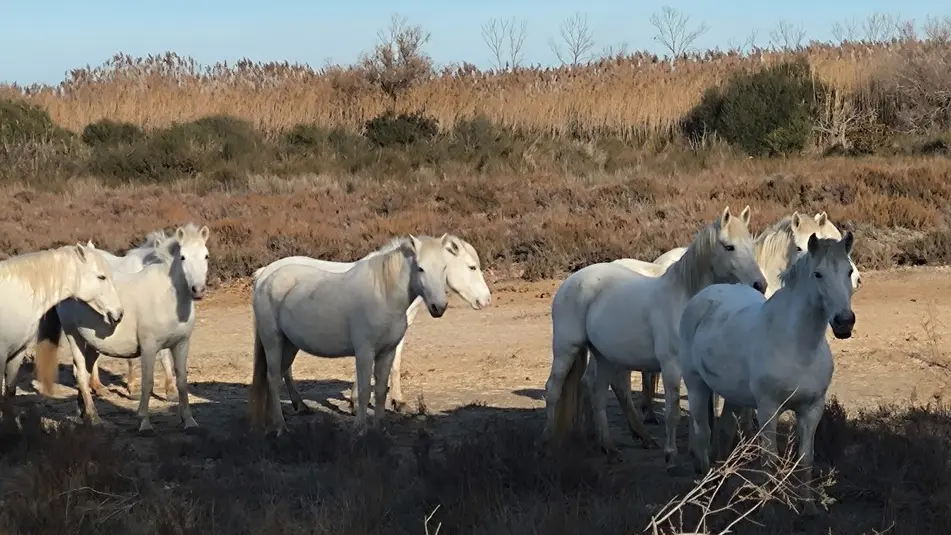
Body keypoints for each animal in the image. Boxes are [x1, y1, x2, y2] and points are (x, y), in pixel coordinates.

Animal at [36, 223, 211, 436]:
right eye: (183, 257)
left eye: (206, 256)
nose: (198, 290)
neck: (167, 297)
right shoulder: (149, 346)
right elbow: (148, 381)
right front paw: (144, 422)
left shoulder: (181, 344)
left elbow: (182, 381)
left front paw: (189, 421)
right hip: (73, 335)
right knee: (81, 375)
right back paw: (95, 419)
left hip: (92, 342)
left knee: (85, 372)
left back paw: (83, 413)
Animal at [253, 234, 490, 414]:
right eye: (472, 267)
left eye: (443, 268)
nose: (486, 300)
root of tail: (264, 273)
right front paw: (383, 402)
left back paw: (298, 404)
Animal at [540, 207, 768, 466]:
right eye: (729, 247)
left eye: (751, 245)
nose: (759, 284)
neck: (684, 302)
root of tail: (571, 280)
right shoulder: (671, 367)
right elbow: (674, 411)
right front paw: (671, 455)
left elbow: (705, 413)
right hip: (567, 348)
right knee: (554, 390)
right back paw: (547, 444)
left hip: (604, 356)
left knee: (597, 393)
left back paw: (609, 447)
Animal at [680, 233, 860, 516]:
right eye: (818, 274)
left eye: (849, 271)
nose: (844, 322)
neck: (798, 347)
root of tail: (703, 297)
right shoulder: (768, 409)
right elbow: (770, 459)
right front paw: (770, 508)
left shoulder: (812, 409)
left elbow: (805, 458)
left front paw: (809, 507)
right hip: (697, 386)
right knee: (702, 434)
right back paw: (705, 491)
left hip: (734, 397)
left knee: (724, 432)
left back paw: (720, 489)